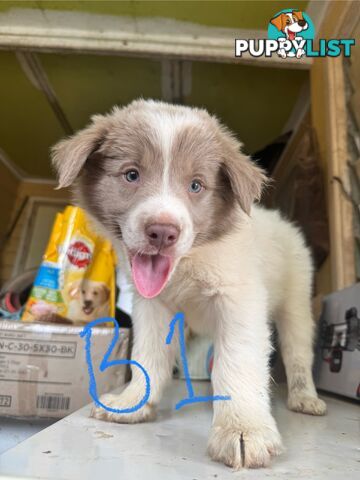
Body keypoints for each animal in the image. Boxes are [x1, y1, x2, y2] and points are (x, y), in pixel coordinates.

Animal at [51, 99, 326, 470]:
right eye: (131, 175)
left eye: (196, 185)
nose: (162, 232)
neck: (189, 263)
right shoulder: (152, 306)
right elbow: (147, 355)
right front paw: (133, 402)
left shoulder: (240, 301)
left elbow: (237, 361)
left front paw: (242, 428)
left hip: (295, 303)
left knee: (298, 353)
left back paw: (305, 397)